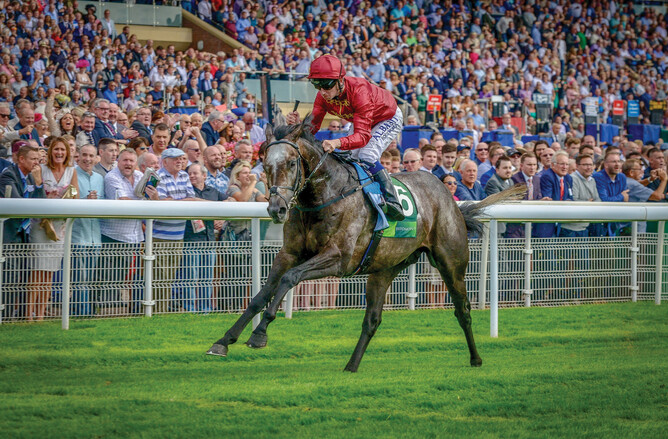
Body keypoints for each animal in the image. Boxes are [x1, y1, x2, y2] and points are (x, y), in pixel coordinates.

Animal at [207, 116, 518, 372]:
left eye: (292, 163)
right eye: (264, 164)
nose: (277, 209)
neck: (324, 195)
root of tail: (447, 195)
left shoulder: (338, 258)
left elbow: (289, 278)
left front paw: (259, 334)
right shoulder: (290, 253)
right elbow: (261, 294)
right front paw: (223, 341)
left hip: (450, 262)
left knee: (462, 309)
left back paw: (476, 358)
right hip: (384, 268)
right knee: (372, 320)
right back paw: (351, 365)